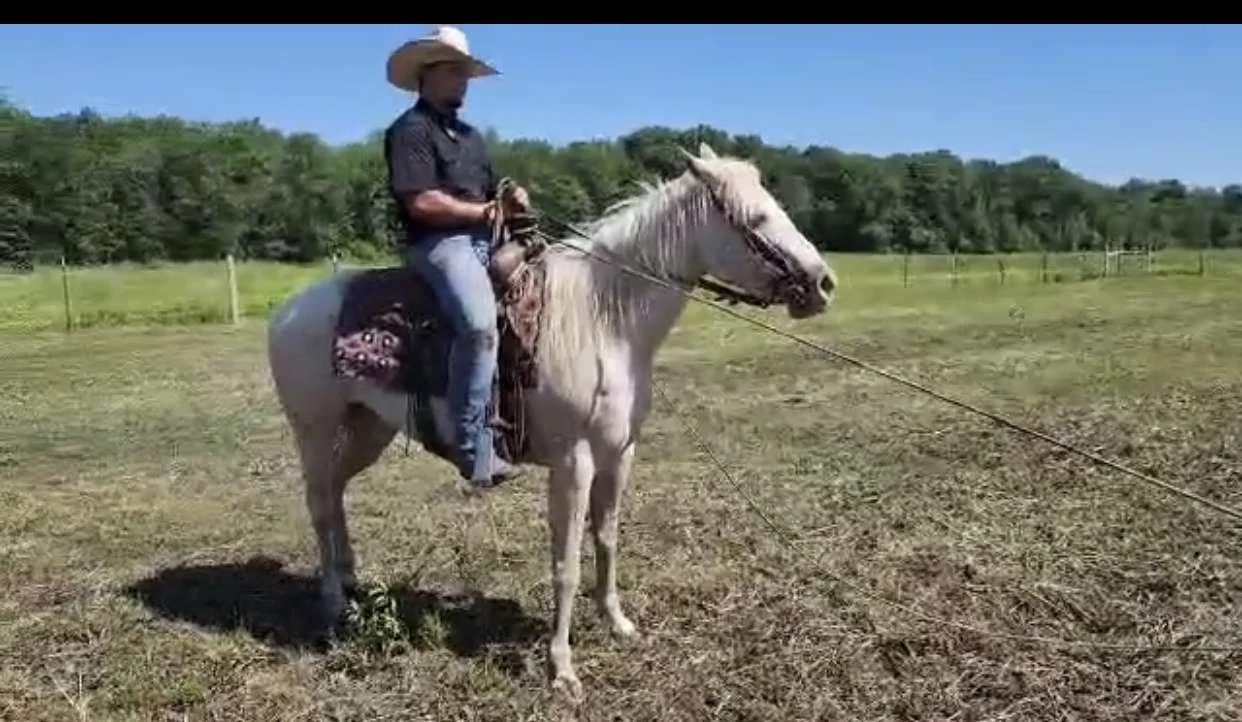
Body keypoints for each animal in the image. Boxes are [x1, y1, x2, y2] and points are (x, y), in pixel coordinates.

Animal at [264, 142, 838, 700]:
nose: (823, 283)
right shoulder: (573, 461)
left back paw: (350, 580)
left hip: (369, 428)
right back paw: (334, 603)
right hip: (314, 429)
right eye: (757, 218)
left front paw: (617, 623)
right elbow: (566, 563)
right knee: (320, 504)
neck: (604, 320)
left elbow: (606, 538)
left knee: (337, 494)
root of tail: (288, 310)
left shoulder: (620, 453)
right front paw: (562, 667)